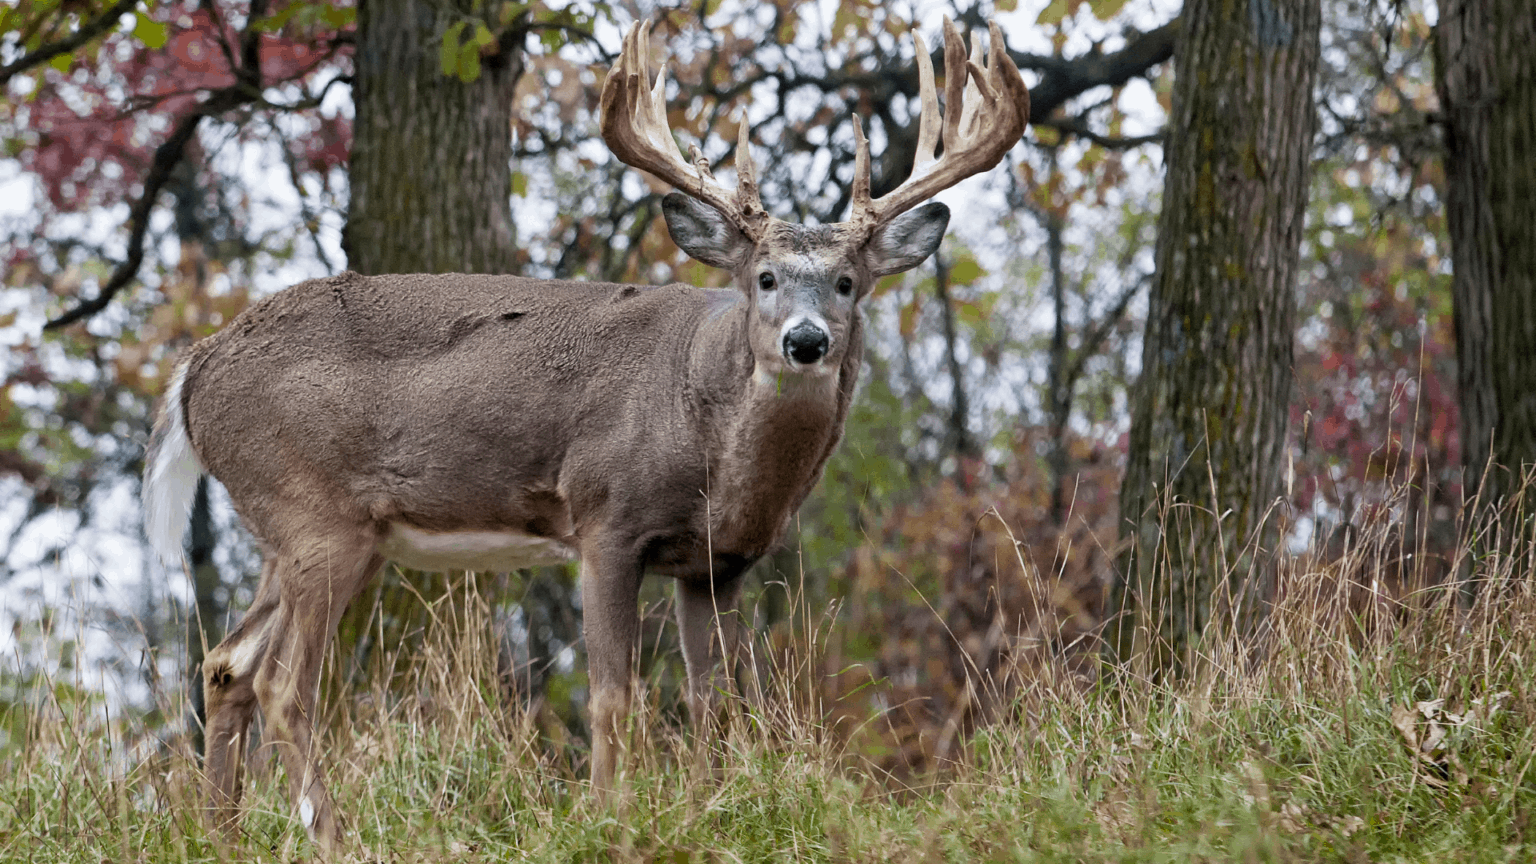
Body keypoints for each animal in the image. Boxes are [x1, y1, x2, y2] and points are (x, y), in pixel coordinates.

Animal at [146, 16, 1032, 848]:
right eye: (764, 277)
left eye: (849, 282)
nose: (806, 340)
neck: (709, 438)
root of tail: (196, 364)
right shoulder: (607, 517)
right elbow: (614, 695)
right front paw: (610, 820)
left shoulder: (718, 564)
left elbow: (713, 701)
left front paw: (708, 815)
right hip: (317, 515)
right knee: (282, 684)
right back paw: (333, 837)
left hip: (286, 532)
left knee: (225, 665)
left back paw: (219, 835)